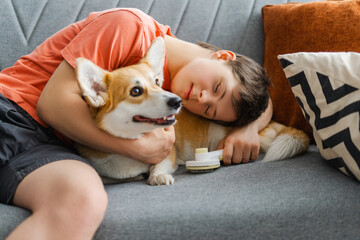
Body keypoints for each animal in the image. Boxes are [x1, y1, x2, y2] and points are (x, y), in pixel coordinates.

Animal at [75, 37, 310, 186]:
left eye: (157, 82)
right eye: (136, 91)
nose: (177, 101)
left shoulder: (168, 154)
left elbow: (160, 166)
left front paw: (158, 176)